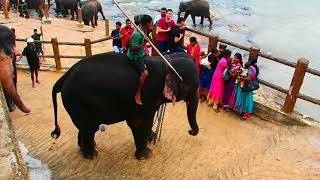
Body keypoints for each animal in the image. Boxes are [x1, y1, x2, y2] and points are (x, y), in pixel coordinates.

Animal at [51, 51, 199, 159]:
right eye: (189, 87)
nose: (190, 131)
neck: (166, 62)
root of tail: (64, 77)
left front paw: (151, 138)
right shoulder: (144, 96)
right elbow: (139, 123)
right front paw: (146, 155)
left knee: (84, 127)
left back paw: (86, 148)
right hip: (78, 102)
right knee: (90, 128)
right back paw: (92, 155)